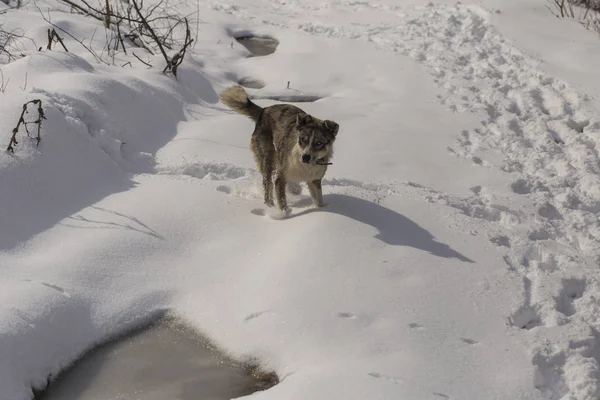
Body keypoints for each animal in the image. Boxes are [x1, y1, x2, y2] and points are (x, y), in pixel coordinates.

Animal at [220, 84, 340, 216]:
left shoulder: (315, 179)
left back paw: (293, 188)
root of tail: (264, 110)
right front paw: (283, 214)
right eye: (302, 139)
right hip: (267, 156)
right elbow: (281, 199)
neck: (305, 166)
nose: (305, 157)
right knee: (267, 183)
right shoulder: (281, 178)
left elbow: (318, 200)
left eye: (319, 143)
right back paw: (269, 204)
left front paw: (323, 209)